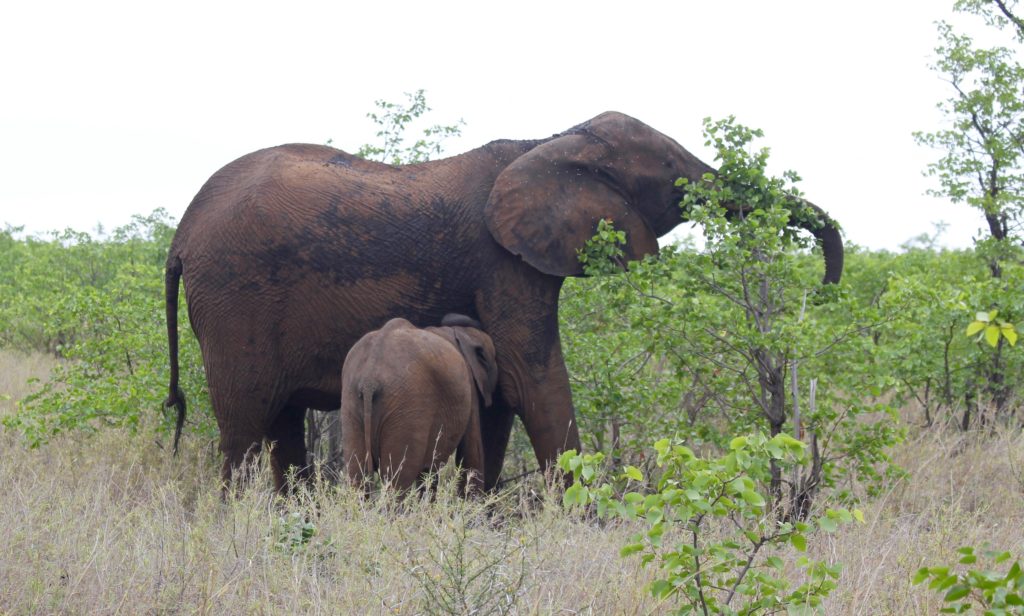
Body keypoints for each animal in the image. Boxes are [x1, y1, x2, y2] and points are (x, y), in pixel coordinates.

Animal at [342, 315, 497, 491]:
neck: (460, 332)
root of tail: (369, 379)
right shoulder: (470, 387)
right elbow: (472, 453)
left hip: (351, 404)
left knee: (357, 476)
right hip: (407, 408)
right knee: (397, 480)